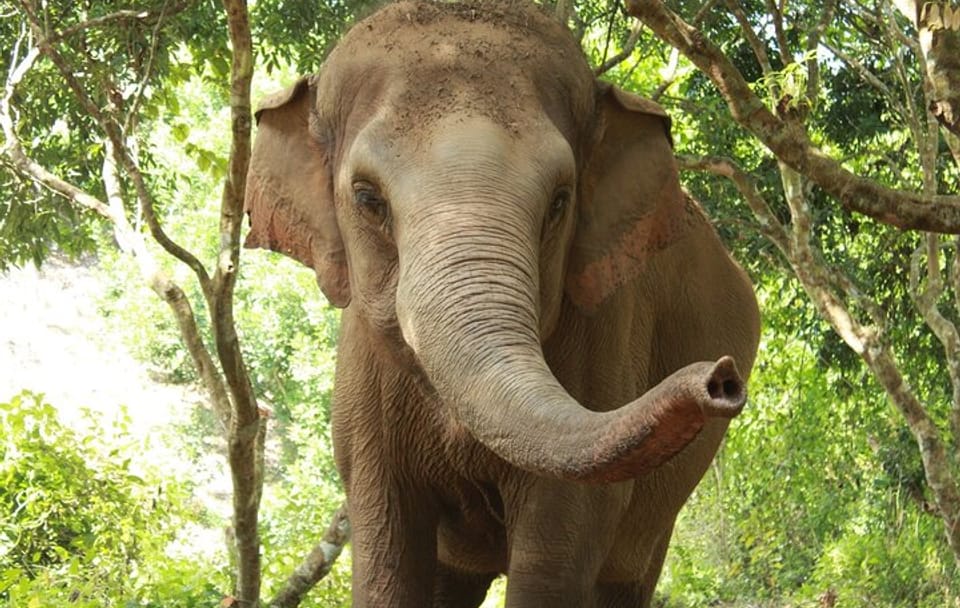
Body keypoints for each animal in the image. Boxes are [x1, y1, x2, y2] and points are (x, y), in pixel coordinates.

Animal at [243, 1, 760, 606]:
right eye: (368, 198)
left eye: (560, 201)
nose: (719, 380)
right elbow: (387, 556)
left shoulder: (603, 336)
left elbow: (556, 551)